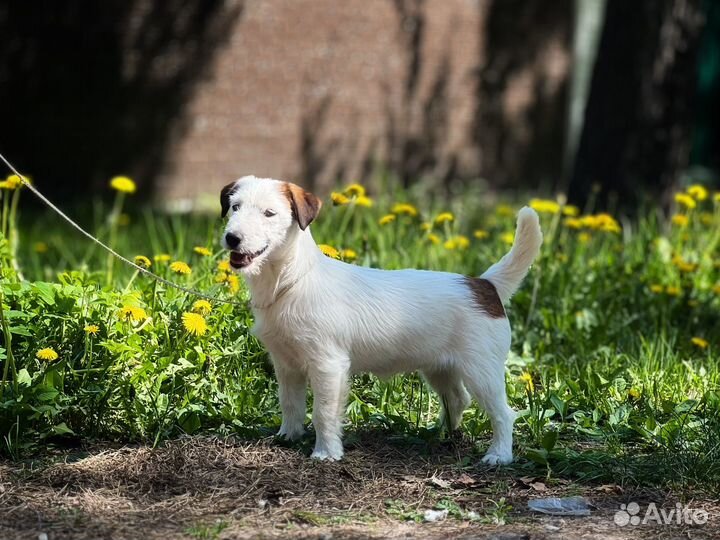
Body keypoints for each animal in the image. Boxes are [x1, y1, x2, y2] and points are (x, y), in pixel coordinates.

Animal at [219, 176, 540, 464]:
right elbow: (290, 404)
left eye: (269, 213)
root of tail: (485, 284)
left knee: (503, 413)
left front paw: (326, 452)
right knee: (457, 399)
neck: (291, 280)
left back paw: (499, 455)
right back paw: (440, 433)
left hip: (481, 371)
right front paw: (288, 436)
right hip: (441, 368)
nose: (232, 238)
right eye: (235, 207)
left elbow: (324, 412)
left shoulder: (328, 365)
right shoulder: (286, 364)